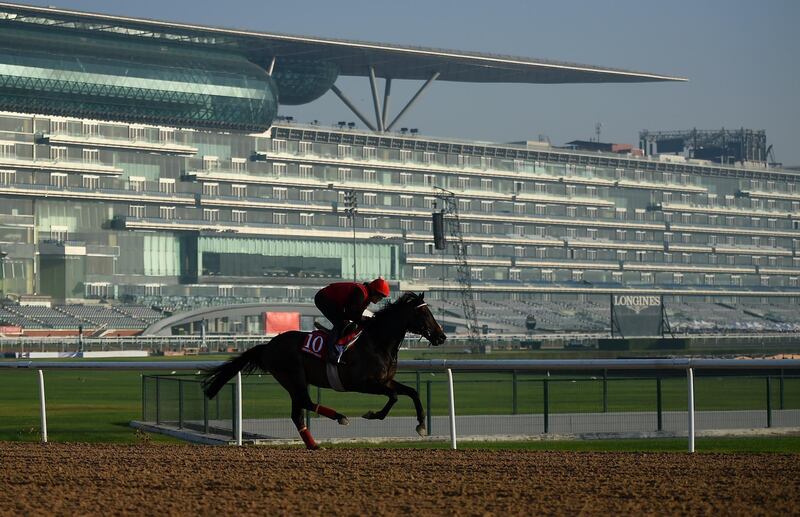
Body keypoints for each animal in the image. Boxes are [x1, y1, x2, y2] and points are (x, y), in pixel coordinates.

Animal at [200, 292, 446, 450]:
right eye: (424, 315)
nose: (442, 337)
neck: (377, 342)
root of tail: (268, 346)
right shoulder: (363, 384)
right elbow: (394, 397)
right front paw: (373, 414)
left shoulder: (384, 381)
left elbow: (412, 392)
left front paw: (421, 425)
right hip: (293, 377)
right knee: (304, 403)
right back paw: (340, 417)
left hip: (293, 381)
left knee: (297, 412)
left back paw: (314, 445)